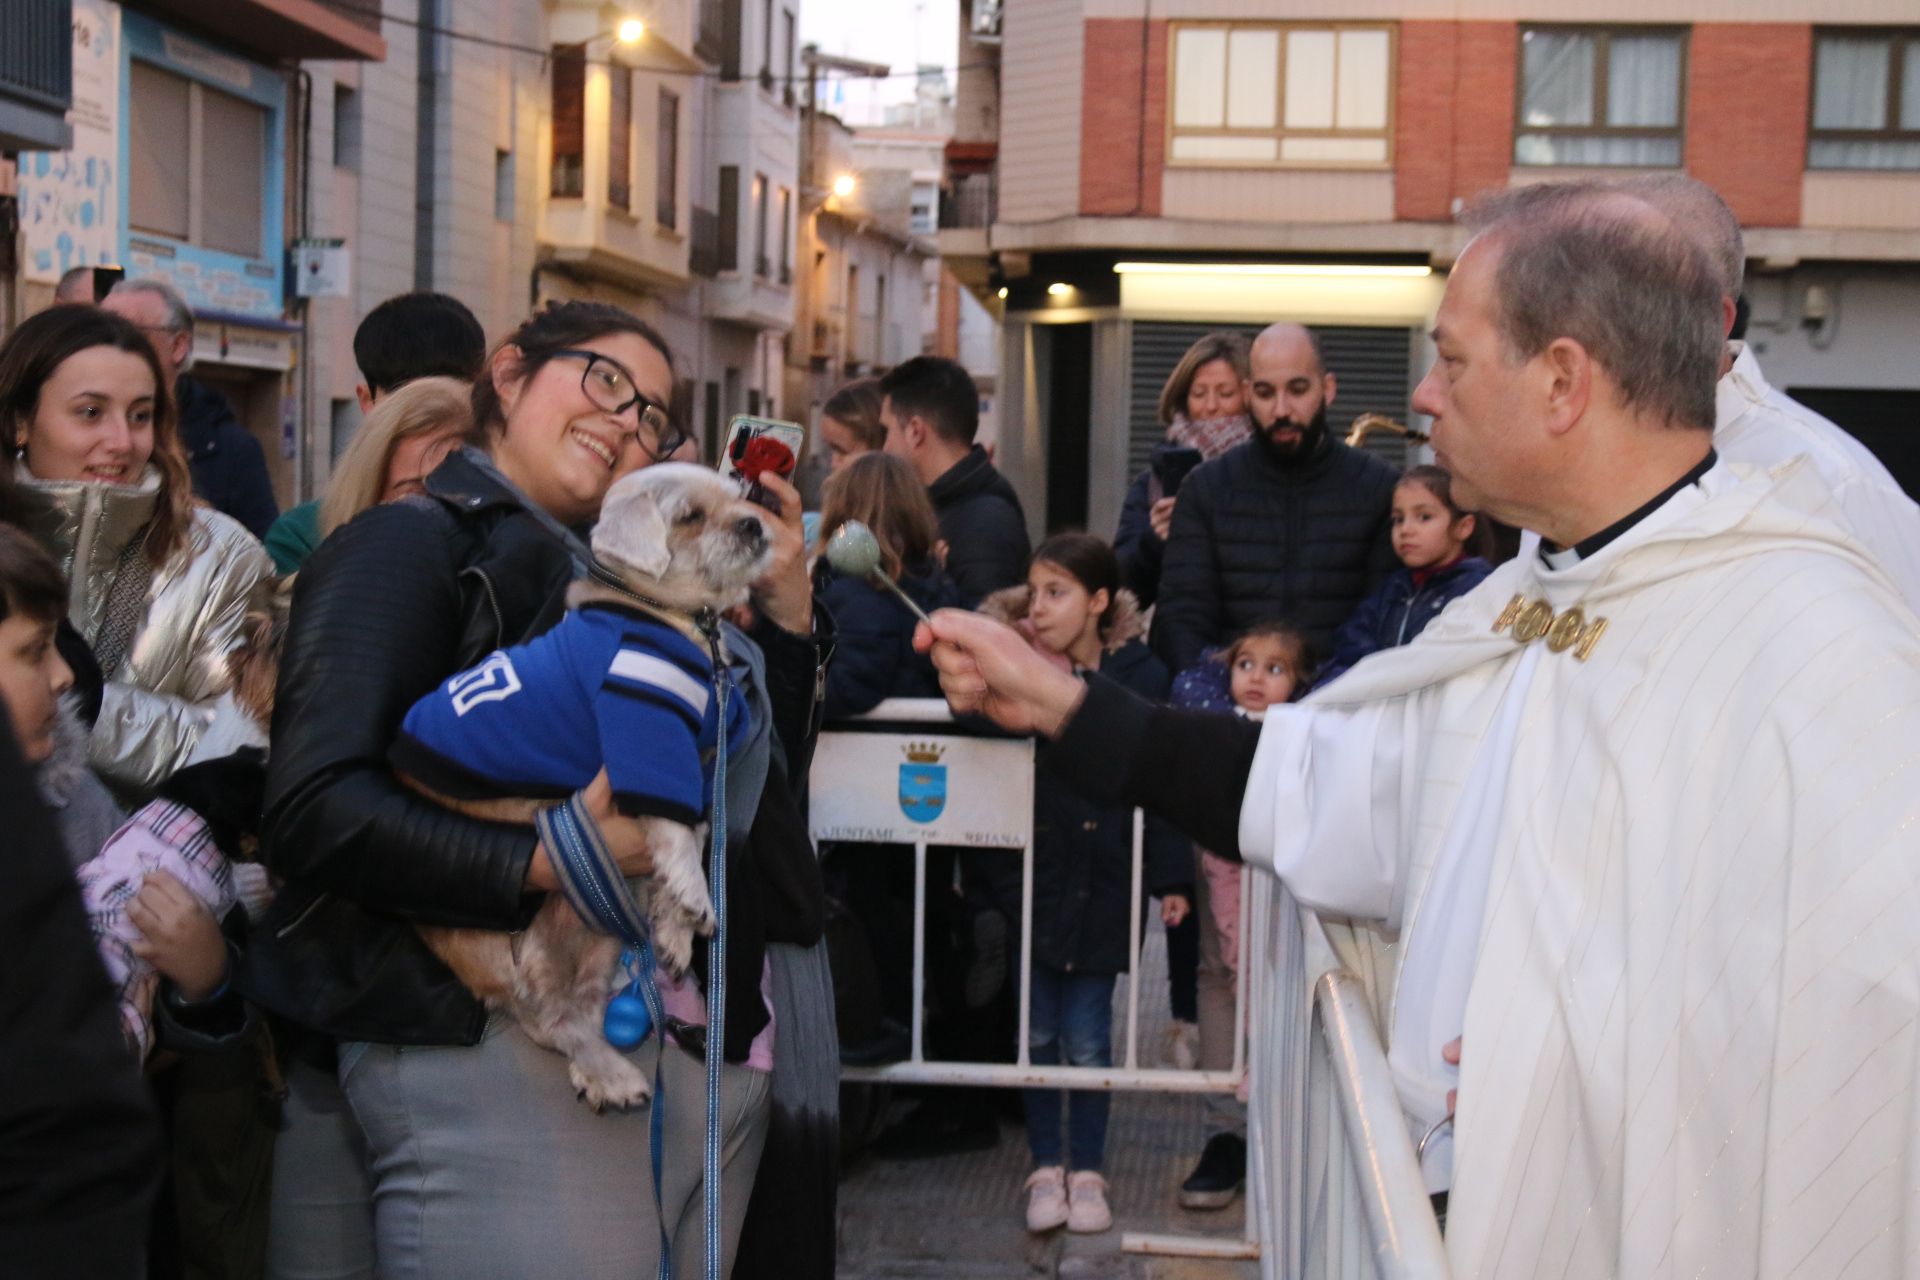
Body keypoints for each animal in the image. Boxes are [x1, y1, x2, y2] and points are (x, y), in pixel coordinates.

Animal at [389, 466, 771, 1105]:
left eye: (739, 496)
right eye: (691, 516)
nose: (755, 524)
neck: (664, 615)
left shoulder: (694, 768)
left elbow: (688, 839)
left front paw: (674, 926)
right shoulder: (644, 737)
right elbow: (675, 836)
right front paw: (696, 895)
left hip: (600, 929)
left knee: (583, 1010)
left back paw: (605, 1070)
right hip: (539, 935)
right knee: (550, 1019)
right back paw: (608, 1071)